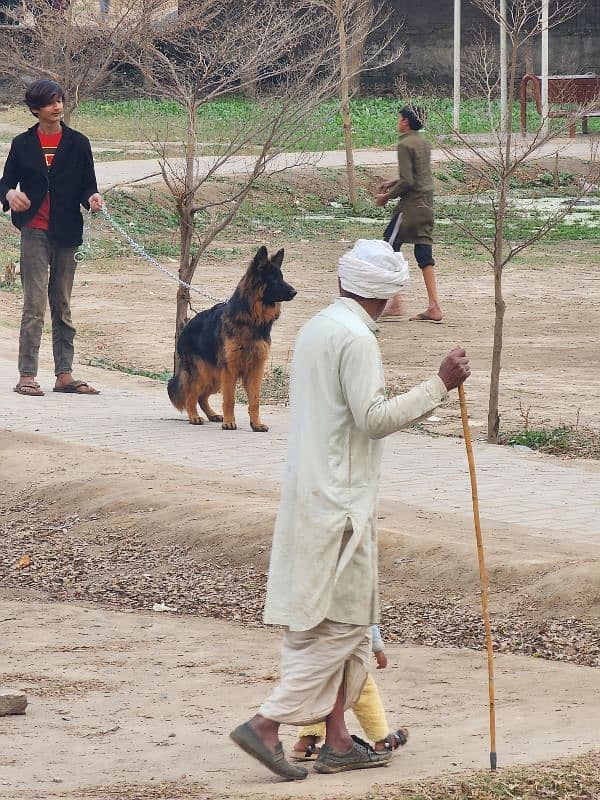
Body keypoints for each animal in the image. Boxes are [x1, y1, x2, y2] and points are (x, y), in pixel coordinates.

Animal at [168, 245, 296, 432]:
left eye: (282, 277)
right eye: (273, 279)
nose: (295, 292)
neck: (251, 319)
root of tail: (186, 326)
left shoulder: (255, 369)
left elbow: (255, 401)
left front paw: (256, 424)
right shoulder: (230, 369)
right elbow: (229, 399)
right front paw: (229, 422)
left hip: (214, 376)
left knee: (201, 396)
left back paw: (212, 415)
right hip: (204, 373)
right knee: (191, 395)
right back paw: (194, 417)